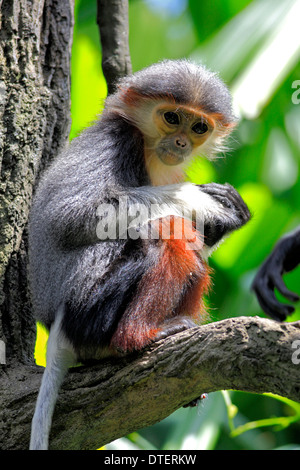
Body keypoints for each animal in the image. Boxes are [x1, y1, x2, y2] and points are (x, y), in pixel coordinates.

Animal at [28, 60, 251, 450]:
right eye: (172, 118)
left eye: (198, 127)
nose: (181, 141)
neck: (149, 150)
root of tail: (55, 330)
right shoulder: (115, 139)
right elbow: (67, 217)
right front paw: (196, 197)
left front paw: (231, 213)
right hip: (89, 308)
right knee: (166, 232)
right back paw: (139, 338)